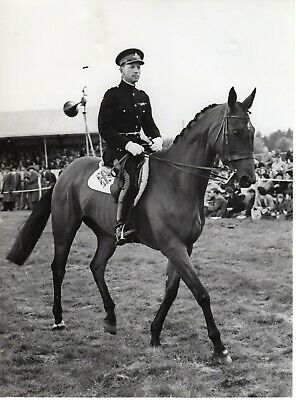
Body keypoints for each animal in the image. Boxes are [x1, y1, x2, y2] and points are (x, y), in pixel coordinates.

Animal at [6, 86, 256, 362]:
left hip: (107, 236)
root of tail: (65, 172)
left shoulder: (183, 248)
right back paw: (59, 319)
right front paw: (219, 347)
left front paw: (155, 334)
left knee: (96, 267)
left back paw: (110, 318)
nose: (248, 178)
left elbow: (171, 292)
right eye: (236, 131)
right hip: (65, 228)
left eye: (252, 132)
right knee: (58, 268)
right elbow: (200, 293)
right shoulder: (173, 247)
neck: (177, 181)